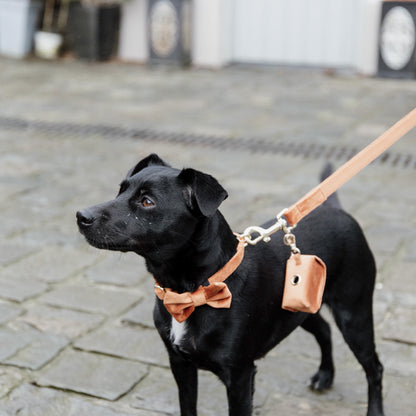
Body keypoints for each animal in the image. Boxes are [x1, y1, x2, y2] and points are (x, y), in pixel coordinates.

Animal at [77, 154, 384, 414]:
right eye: (120, 190)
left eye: (147, 202)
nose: (81, 216)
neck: (194, 291)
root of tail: (338, 210)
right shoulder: (180, 365)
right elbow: (187, 408)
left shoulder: (239, 376)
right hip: (299, 309)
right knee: (324, 330)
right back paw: (325, 375)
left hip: (354, 315)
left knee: (374, 368)